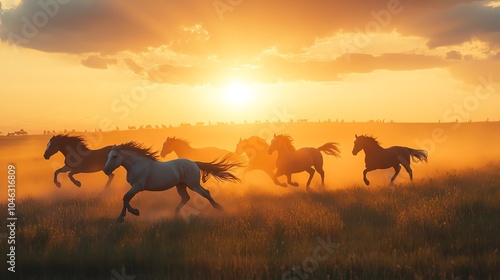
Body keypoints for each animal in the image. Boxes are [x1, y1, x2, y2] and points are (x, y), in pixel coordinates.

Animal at [102, 142, 241, 223]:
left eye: (114, 156)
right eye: (108, 156)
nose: (106, 170)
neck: (137, 165)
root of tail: (194, 163)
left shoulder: (138, 186)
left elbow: (125, 198)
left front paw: (132, 213)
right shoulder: (135, 187)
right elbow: (126, 199)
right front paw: (122, 216)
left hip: (193, 184)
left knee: (205, 193)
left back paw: (219, 208)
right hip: (181, 185)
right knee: (185, 197)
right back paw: (174, 214)